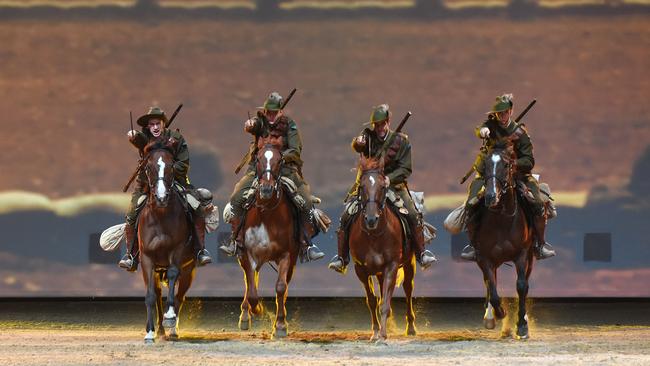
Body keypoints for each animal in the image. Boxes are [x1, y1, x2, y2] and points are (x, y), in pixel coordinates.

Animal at [139, 137, 195, 344]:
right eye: (148, 167)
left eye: (172, 166)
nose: (161, 197)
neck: (161, 216)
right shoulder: (147, 258)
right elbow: (150, 296)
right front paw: (149, 332)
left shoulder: (176, 251)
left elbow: (172, 276)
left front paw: (170, 317)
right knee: (157, 294)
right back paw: (161, 330)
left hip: (189, 269)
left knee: (180, 295)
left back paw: (172, 328)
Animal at [237, 142, 300, 338]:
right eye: (258, 159)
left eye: (280, 160)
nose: (266, 189)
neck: (267, 214)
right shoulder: (247, 254)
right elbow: (251, 289)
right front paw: (256, 309)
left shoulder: (286, 256)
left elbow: (280, 287)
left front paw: (280, 325)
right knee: (249, 282)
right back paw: (245, 315)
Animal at [344, 157, 416, 344]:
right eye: (362, 187)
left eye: (383, 187)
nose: (371, 219)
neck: (374, 235)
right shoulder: (361, 269)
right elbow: (372, 300)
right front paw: (376, 332)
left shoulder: (391, 265)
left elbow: (385, 301)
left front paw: (383, 334)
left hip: (409, 263)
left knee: (408, 288)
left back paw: (411, 327)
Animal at [474, 141, 536, 340]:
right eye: (485, 164)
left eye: (507, 165)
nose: (490, 196)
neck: (502, 220)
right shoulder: (484, 258)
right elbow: (492, 288)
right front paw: (499, 312)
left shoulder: (522, 255)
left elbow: (522, 286)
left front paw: (522, 326)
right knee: (489, 281)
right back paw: (490, 316)